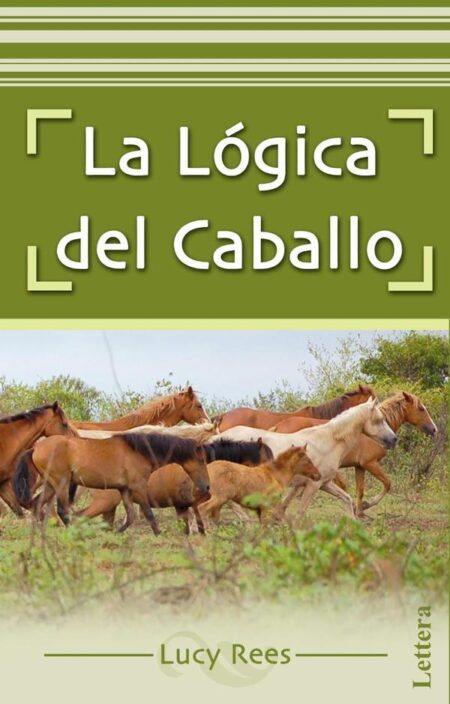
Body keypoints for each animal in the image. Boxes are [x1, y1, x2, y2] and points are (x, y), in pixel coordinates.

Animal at [12, 432, 209, 535]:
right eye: (201, 460)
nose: (207, 487)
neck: (139, 452)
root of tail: (36, 448)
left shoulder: (125, 490)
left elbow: (131, 516)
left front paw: (116, 533)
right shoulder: (138, 487)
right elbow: (148, 513)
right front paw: (158, 534)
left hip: (51, 485)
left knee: (37, 505)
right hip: (61, 483)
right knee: (62, 510)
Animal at [215, 399, 397, 520]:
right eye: (380, 420)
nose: (394, 439)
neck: (328, 440)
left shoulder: (324, 483)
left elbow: (346, 498)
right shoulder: (313, 485)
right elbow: (300, 512)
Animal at [272, 391, 437, 517]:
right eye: (421, 408)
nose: (434, 429)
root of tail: (277, 427)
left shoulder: (360, 467)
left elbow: (360, 490)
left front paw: (360, 511)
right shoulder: (370, 463)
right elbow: (388, 483)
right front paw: (366, 505)